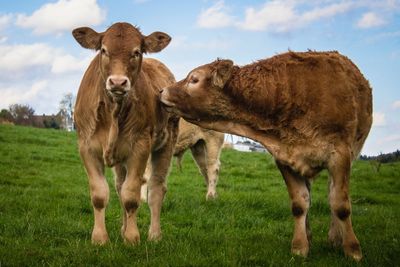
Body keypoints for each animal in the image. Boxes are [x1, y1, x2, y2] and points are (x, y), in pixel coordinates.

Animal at [72, 22, 178, 246]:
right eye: (104, 50)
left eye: (136, 52)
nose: (118, 82)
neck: (113, 111)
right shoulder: (86, 147)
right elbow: (100, 195)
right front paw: (100, 238)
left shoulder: (140, 147)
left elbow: (131, 196)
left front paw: (132, 237)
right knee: (120, 186)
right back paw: (122, 228)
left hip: (166, 144)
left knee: (156, 189)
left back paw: (154, 235)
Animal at [161, 50, 374, 262]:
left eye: (194, 79)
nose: (162, 91)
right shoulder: (285, 156)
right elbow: (299, 203)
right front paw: (300, 247)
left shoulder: (340, 155)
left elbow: (340, 204)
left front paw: (353, 250)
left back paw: (335, 237)